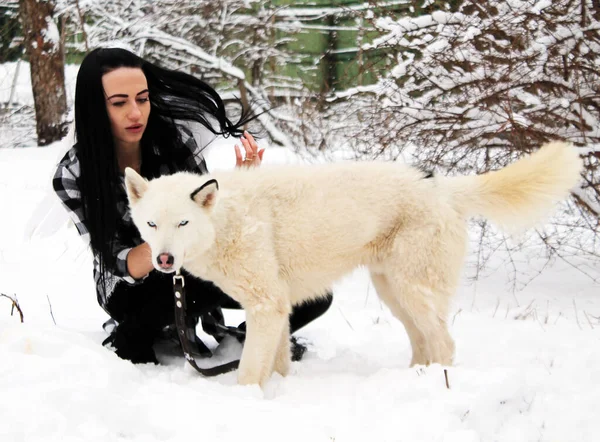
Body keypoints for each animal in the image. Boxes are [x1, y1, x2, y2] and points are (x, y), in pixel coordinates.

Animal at [125, 142, 580, 386]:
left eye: (183, 223)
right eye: (152, 224)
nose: (164, 259)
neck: (226, 220)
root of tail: (443, 187)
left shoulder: (267, 305)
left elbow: (250, 370)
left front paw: (248, 399)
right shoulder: (277, 308)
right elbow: (278, 364)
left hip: (413, 291)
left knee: (445, 344)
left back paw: (438, 386)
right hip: (395, 294)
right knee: (423, 342)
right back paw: (411, 379)